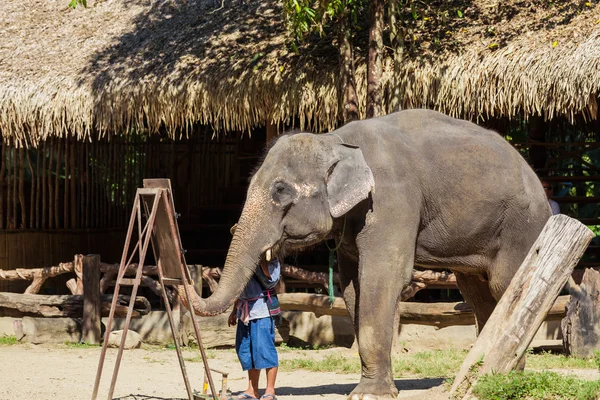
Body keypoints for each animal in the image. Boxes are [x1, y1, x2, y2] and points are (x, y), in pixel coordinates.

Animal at [179, 109, 552, 400]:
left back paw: (505, 376)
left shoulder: (391, 199)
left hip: (523, 225)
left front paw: (368, 394)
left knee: (505, 285)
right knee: (477, 293)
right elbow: (352, 288)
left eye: (280, 190)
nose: (181, 285)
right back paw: (485, 373)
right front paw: (370, 388)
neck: (336, 140)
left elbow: (382, 278)